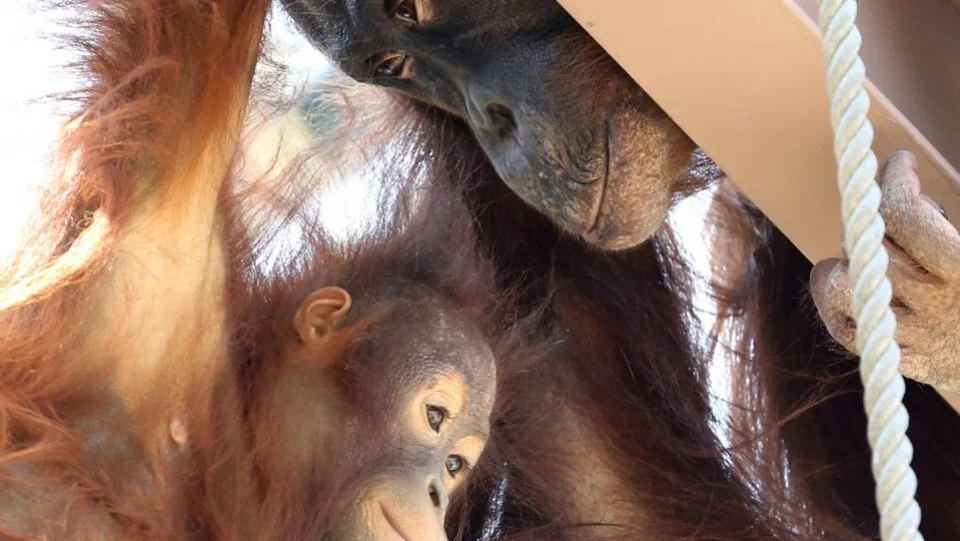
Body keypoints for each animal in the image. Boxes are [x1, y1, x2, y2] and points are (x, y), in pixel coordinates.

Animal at [0, 1, 540, 539]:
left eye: (454, 466)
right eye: (434, 416)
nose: (436, 494)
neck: (245, 452)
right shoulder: (159, 275)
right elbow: (203, 45)